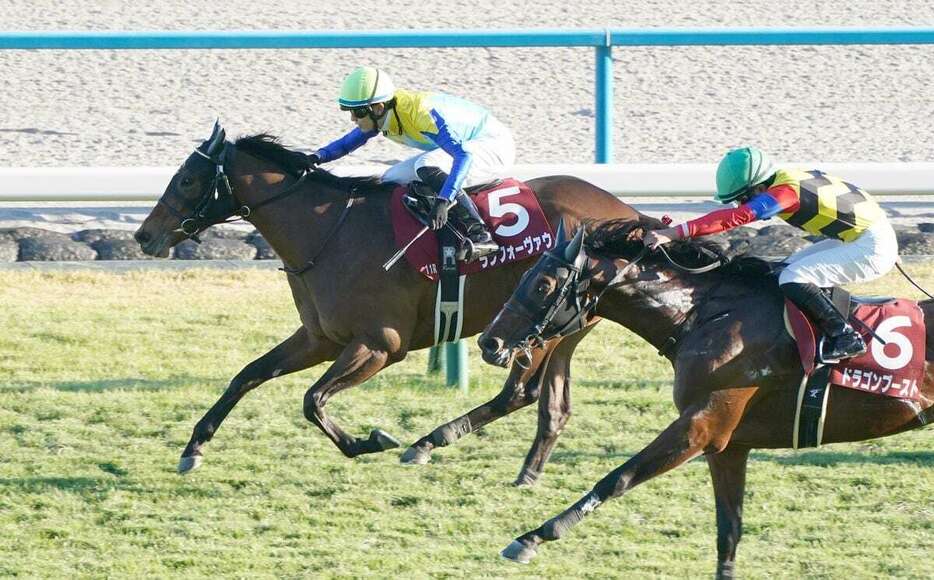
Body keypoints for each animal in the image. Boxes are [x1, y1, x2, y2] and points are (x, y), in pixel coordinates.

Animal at [135, 123, 640, 480]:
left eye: (187, 180)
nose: (144, 236)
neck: (330, 232)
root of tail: (627, 210)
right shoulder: (318, 338)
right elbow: (248, 375)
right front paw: (193, 448)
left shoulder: (380, 345)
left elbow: (312, 399)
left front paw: (369, 441)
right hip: (567, 325)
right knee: (552, 405)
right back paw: (526, 473)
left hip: (541, 322)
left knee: (519, 393)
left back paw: (428, 443)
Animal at [478, 220, 932, 576]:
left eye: (543, 284)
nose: (489, 342)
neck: (702, 318)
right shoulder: (729, 445)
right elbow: (728, 532)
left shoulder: (701, 426)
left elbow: (616, 478)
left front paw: (533, 537)